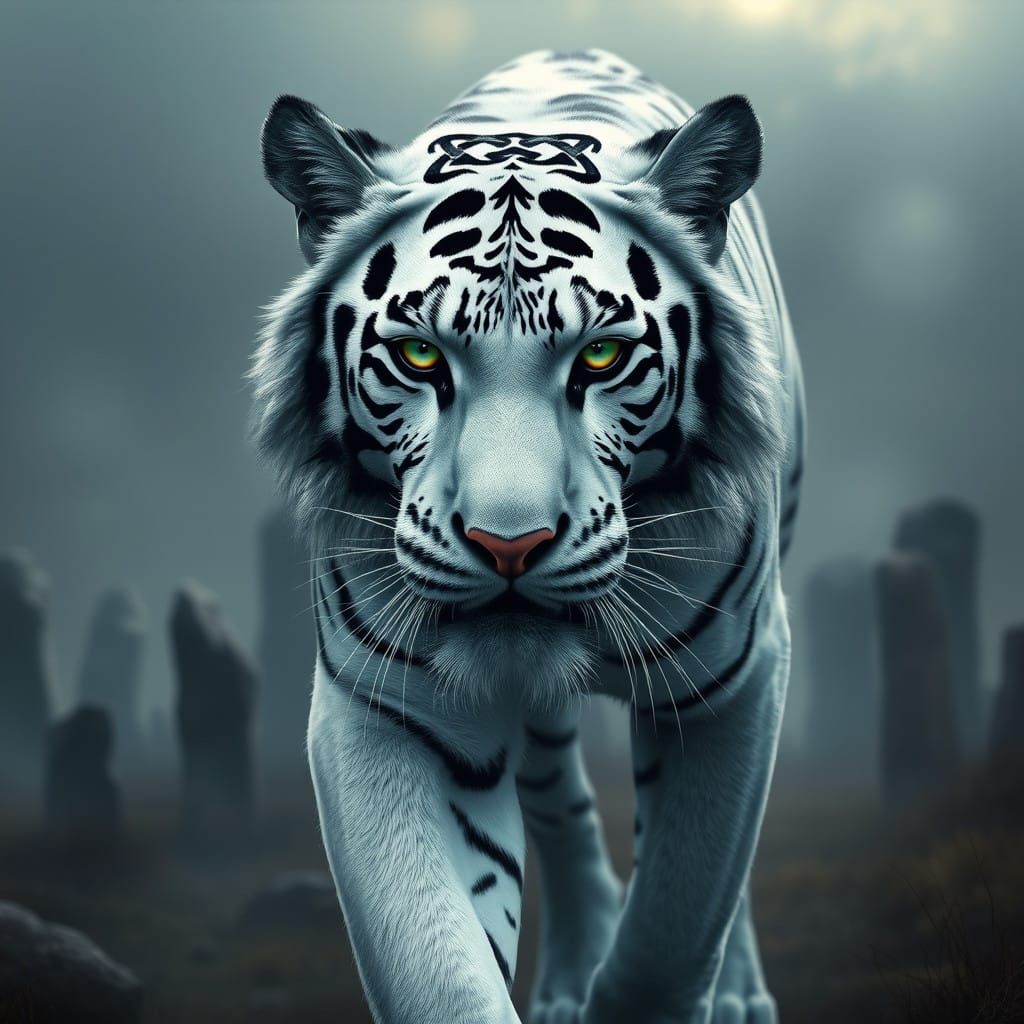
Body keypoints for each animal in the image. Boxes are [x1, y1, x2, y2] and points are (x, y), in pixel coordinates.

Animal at [252, 48, 804, 1024]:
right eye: (420, 355)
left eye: (602, 355)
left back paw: (737, 992)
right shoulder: (385, 710)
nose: (508, 545)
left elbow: (678, 917)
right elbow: (436, 969)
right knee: (558, 803)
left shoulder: (733, 678)